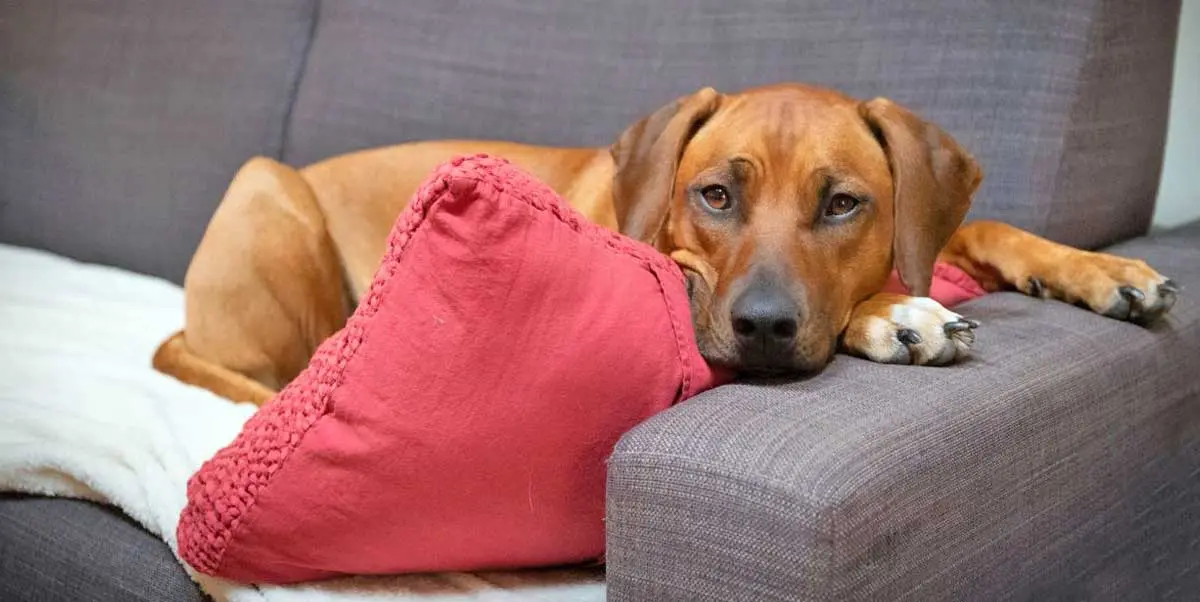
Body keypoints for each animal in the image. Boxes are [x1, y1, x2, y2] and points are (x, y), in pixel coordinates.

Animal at [152, 83, 1180, 405]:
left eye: (843, 205)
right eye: (714, 195)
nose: (763, 330)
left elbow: (983, 224)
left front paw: (1103, 270)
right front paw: (896, 313)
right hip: (268, 188)